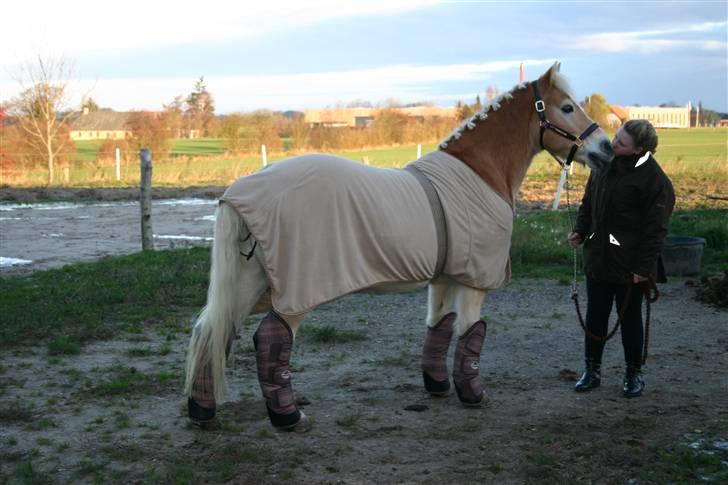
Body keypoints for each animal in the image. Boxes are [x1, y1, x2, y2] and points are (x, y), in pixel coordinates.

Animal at [182, 61, 616, 432]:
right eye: (567, 107)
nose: (606, 149)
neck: (481, 173)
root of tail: (241, 190)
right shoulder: (475, 280)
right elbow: (471, 333)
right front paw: (473, 394)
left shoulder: (445, 277)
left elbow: (440, 328)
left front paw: (437, 386)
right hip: (295, 290)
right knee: (271, 338)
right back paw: (288, 417)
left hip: (249, 280)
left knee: (211, 329)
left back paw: (202, 411)